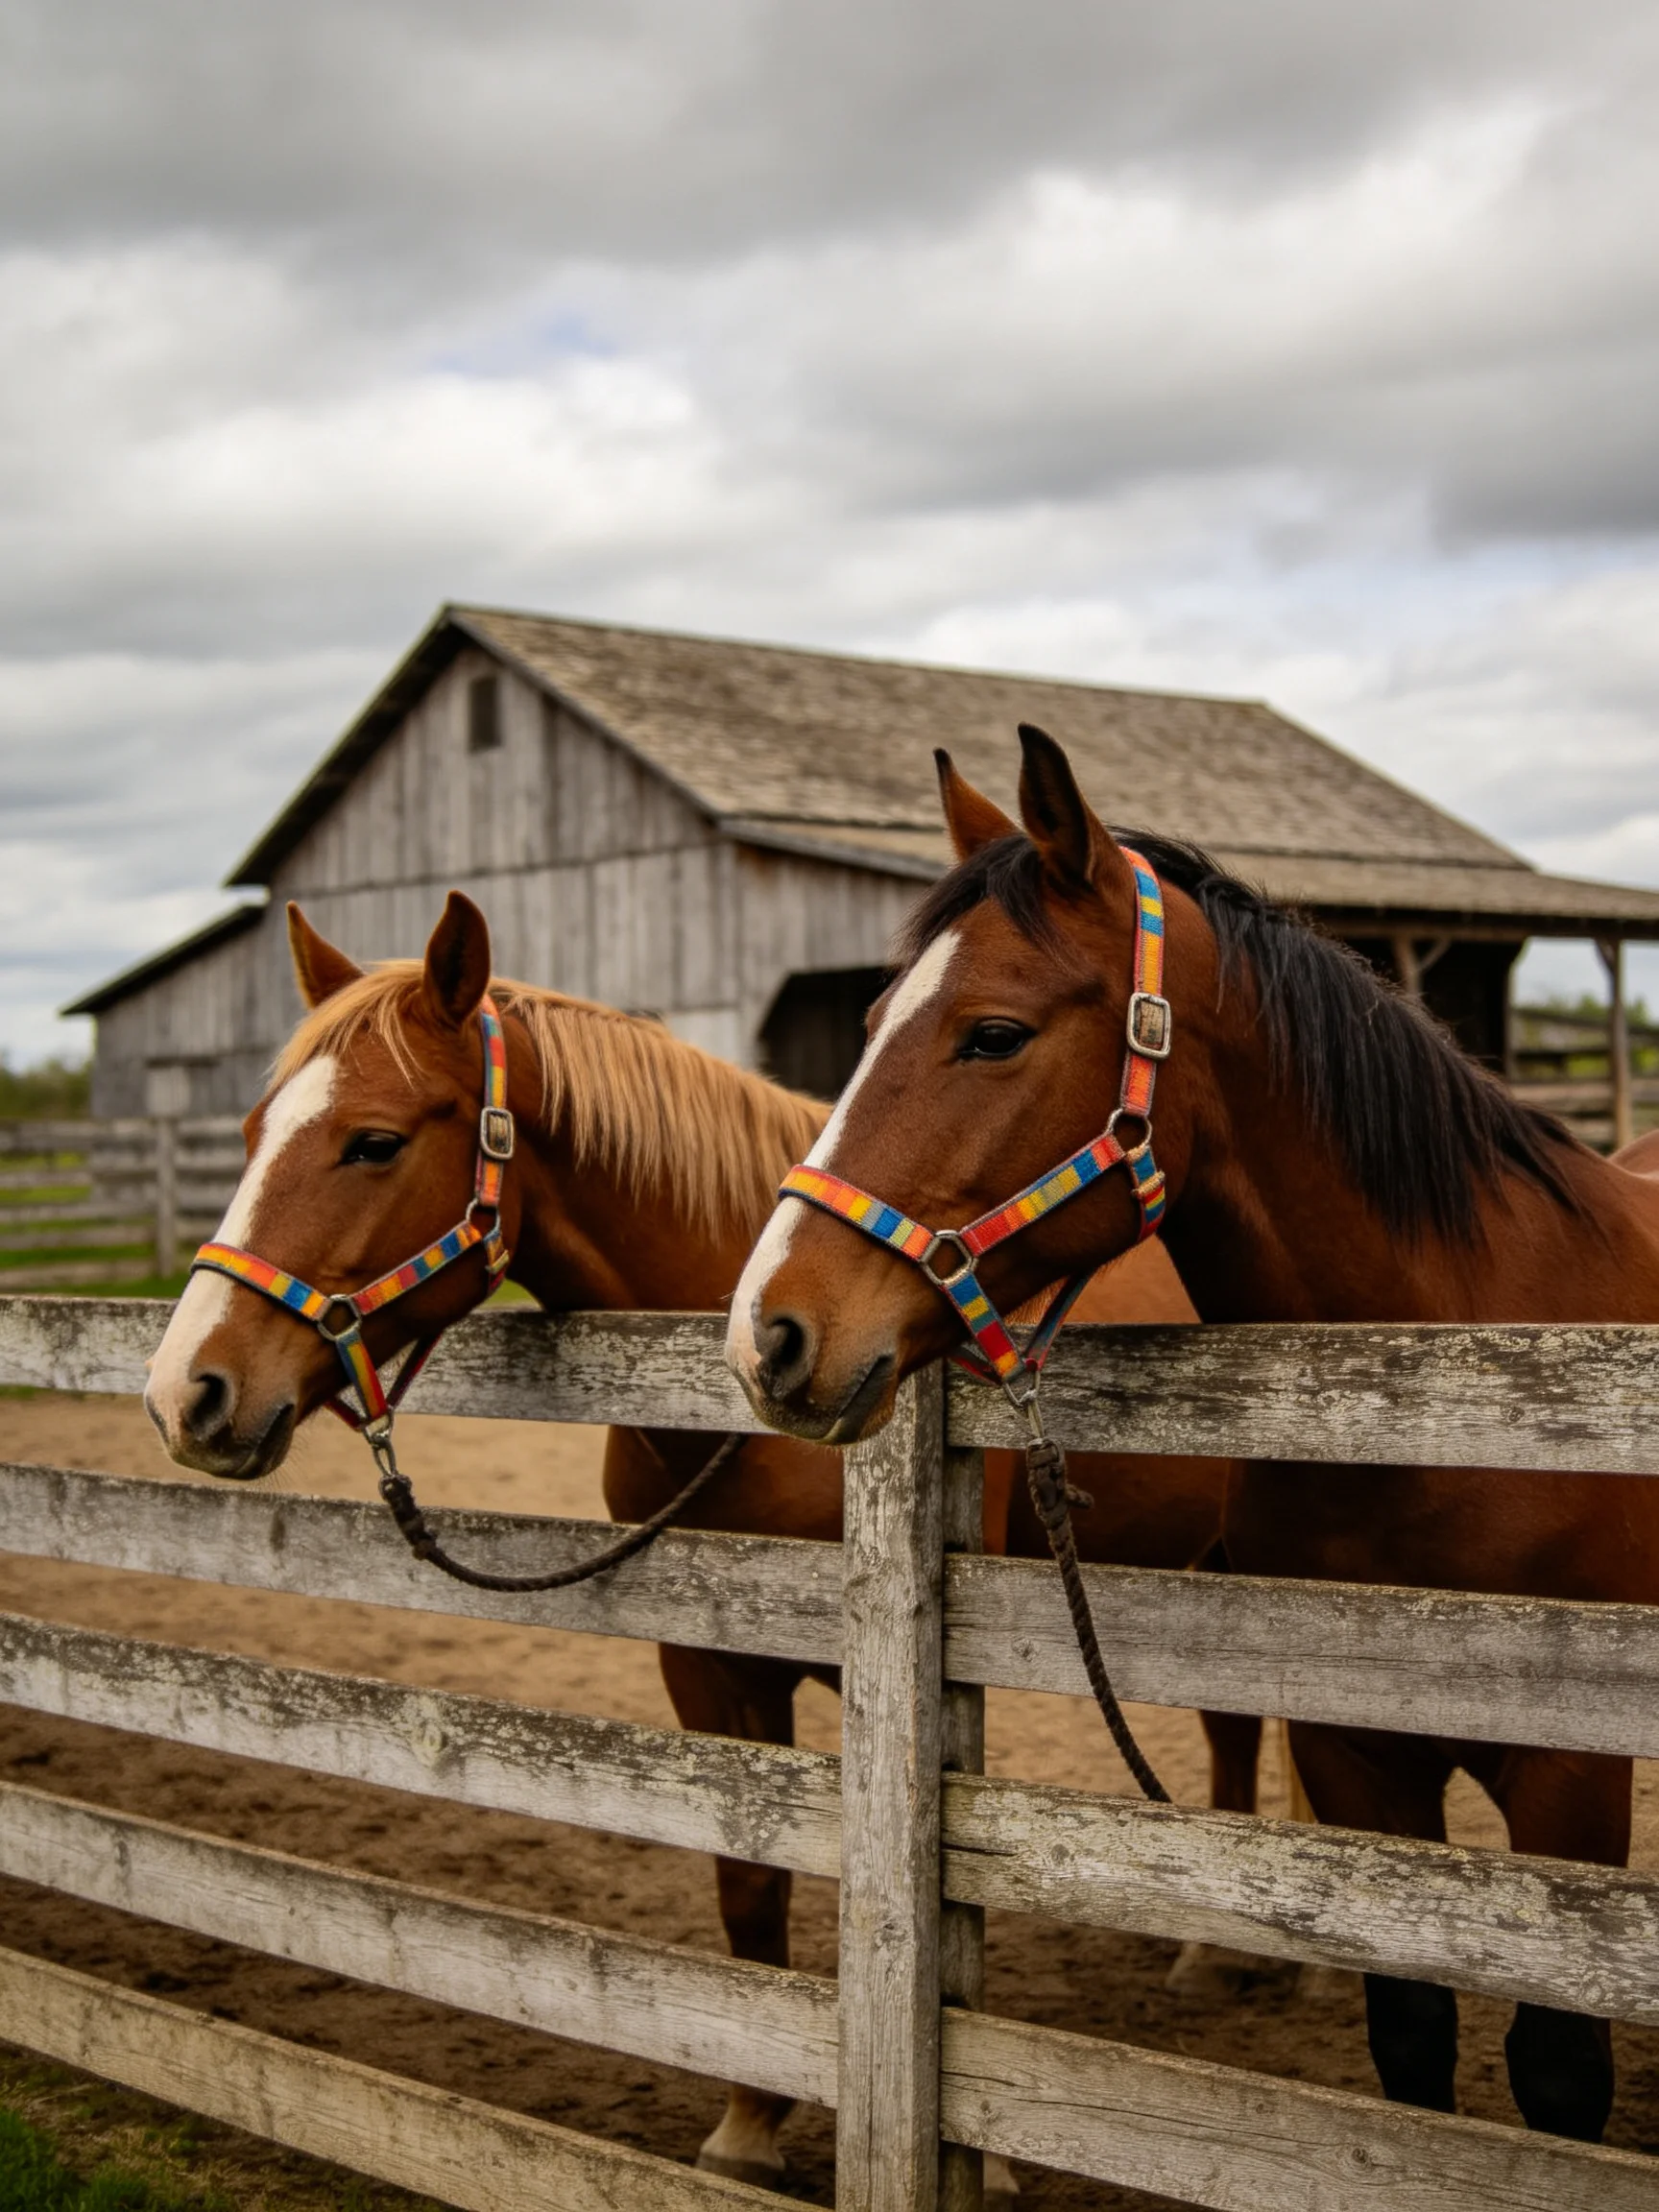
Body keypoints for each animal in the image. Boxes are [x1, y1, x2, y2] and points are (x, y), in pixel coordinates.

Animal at [145, 888, 1245, 2192]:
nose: (185, 1392)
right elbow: (748, 1885)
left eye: (371, 1142)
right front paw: (750, 2128)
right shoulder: (712, 1665)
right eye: (253, 1131)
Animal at [726, 722, 1659, 2147]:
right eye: (872, 1022)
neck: (1466, 1391)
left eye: (993, 1034)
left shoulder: (1573, 1782)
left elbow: (1559, 2072)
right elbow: (1412, 2044)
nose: (767, 1334)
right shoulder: (1356, 1762)